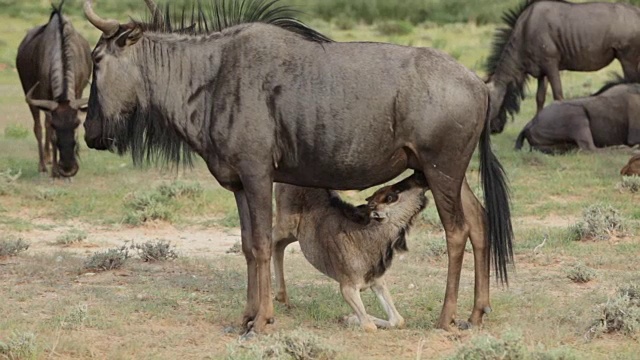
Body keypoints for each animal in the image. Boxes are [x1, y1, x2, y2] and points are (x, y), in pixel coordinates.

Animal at [16, 0, 91, 178]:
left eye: (76, 123)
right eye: (56, 125)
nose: (68, 168)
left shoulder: (78, 90)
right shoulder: (44, 93)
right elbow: (47, 129)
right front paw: (55, 170)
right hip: (28, 91)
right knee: (38, 127)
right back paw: (43, 164)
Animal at [276, 172, 430, 332]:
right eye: (392, 196)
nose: (419, 176)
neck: (368, 238)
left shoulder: (377, 281)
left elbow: (398, 320)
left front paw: (350, 317)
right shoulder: (347, 288)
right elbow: (369, 326)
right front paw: (350, 318)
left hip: (292, 234)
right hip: (285, 225)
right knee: (273, 242)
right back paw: (280, 296)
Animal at [484, 0, 640, 134]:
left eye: (489, 105)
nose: (493, 129)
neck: (525, 30)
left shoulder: (551, 65)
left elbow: (558, 95)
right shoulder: (542, 72)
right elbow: (539, 98)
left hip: (628, 59)